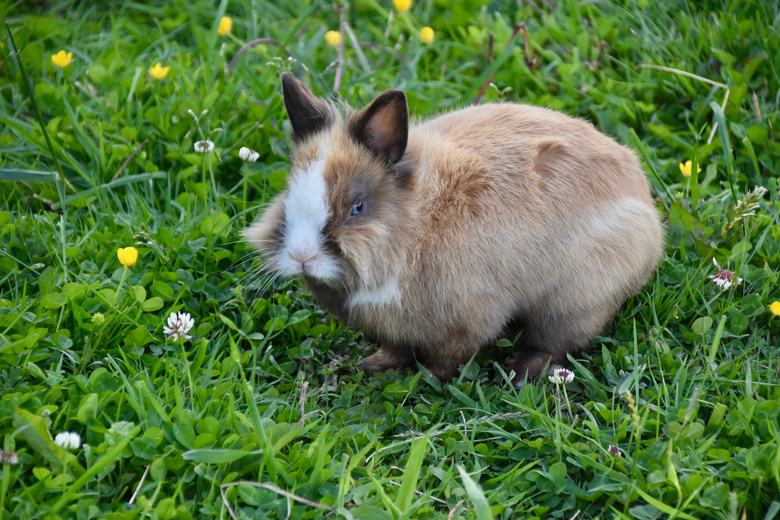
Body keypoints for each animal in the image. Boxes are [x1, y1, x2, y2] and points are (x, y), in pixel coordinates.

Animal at [245, 71, 664, 384]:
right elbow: (396, 349)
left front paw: (424, 379)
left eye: (357, 208)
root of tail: (644, 206)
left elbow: (447, 359)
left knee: (554, 343)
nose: (302, 255)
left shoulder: (463, 325)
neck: (412, 225)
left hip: (573, 301)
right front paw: (374, 366)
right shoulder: (395, 330)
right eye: (288, 194)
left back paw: (519, 372)